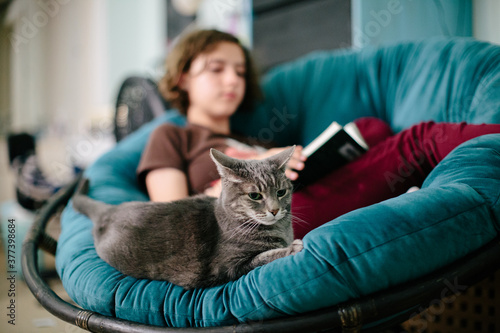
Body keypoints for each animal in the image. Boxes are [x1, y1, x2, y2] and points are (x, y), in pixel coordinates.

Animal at [72, 145, 302, 288]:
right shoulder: (229, 267)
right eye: (255, 195)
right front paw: (292, 248)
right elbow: (263, 258)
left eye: (281, 192)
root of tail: (109, 210)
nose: (274, 210)